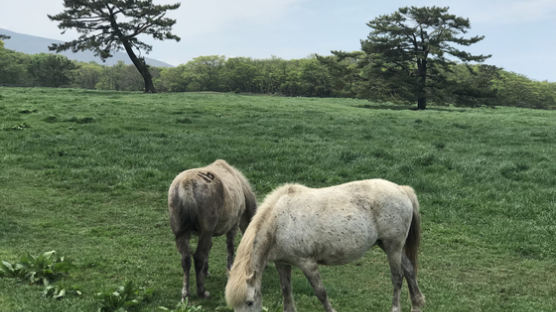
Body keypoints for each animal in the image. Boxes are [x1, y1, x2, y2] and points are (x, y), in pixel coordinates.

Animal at [168, 160, 258, 302]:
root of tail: (187, 187)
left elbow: (209, 249)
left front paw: (206, 271)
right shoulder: (232, 225)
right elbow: (230, 247)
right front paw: (229, 270)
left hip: (182, 233)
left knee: (186, 259)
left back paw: (185, 294)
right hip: (205, 230)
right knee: (198, 257)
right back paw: (202, 292)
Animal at [224, 178, 424, 312]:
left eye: (249, 302)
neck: (279, 223)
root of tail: (402, 190)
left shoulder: (308, 264)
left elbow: (321, 293)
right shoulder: (282, 263)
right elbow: (286, 291)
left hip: (393, 246)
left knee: (397, 277)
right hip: (388, 245)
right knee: (408, 269)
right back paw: (417, 304)